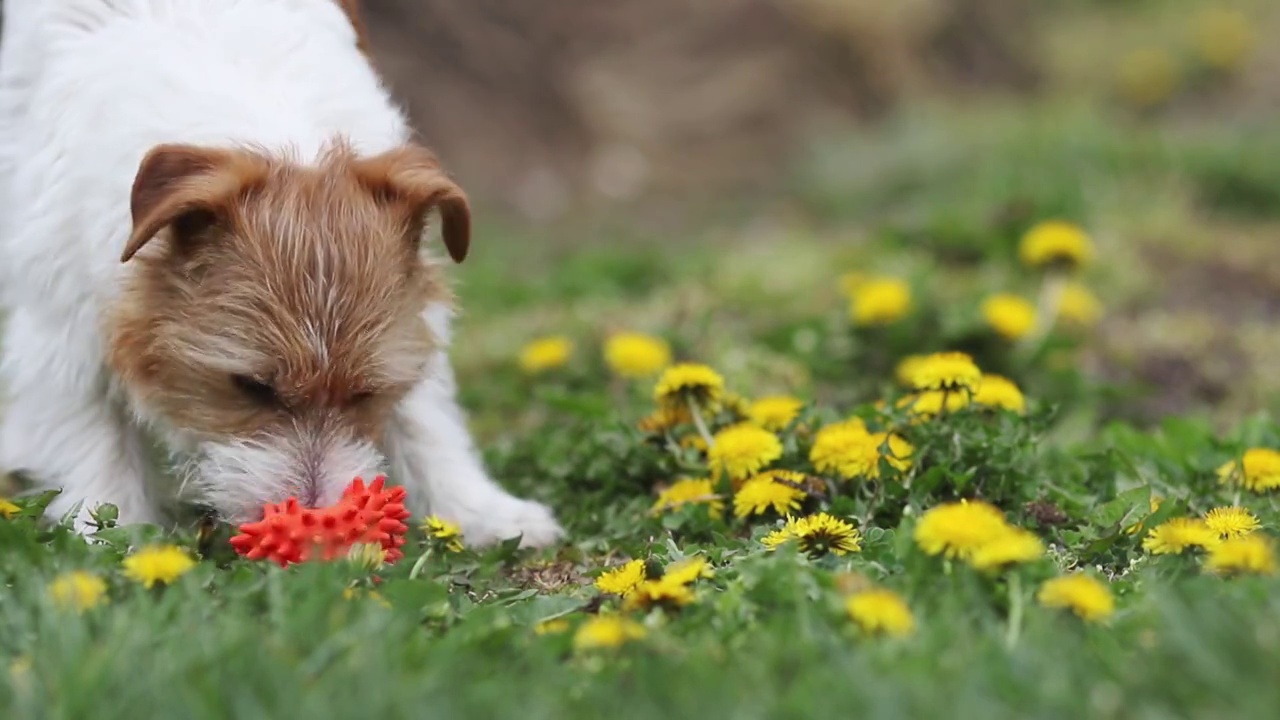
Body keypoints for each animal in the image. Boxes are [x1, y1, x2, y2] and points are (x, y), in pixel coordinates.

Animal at [0, 0, 565, 545]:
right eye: (252, 386)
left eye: (364, 394)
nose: (313, 518)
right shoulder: (60, 324)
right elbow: (94, 441)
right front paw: (110, 537)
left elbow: (426, 419)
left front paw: (478, 510)